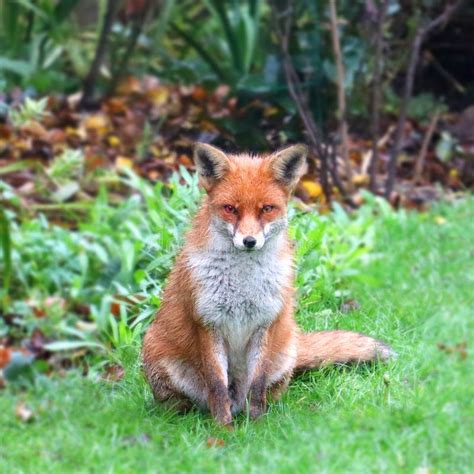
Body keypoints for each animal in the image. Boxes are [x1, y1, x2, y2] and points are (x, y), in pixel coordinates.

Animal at [143, 142, 394, 426]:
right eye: (230, 208)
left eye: (266, 208)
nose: (249, 241)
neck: (242, 282)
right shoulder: (207, 323)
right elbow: (217, 386)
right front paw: (223, 429)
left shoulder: (266, 322)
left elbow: (258, 384)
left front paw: (258, 426)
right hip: (156, 352)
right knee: (189, 403)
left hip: (285, 354)